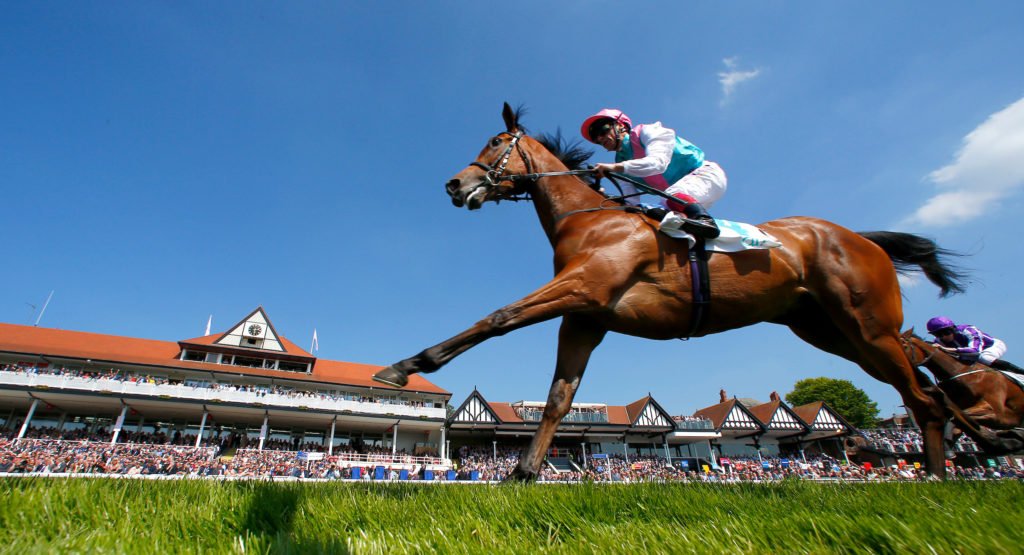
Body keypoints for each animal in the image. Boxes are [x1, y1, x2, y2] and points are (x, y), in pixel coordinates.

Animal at [374, 104, 966, 483]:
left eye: (496, 143)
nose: (454, 184)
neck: (590, 219)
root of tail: (862, 238)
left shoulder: (581, 287)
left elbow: (497, 317)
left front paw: (404, 367)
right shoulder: (585, 316)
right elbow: (558, 397)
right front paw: (522, 474)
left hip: (868, 325)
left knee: (923, 397)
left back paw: (937, 484)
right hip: (830, 330)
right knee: (924, 393)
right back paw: (936, 473)